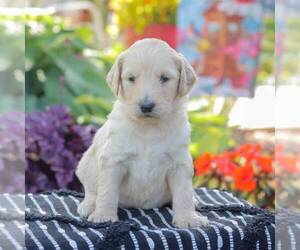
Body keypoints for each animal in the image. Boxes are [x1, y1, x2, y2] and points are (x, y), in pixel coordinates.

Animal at [75, 38, 209, 228]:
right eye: (131, 78)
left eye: (164, 78)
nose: (146, 106)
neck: (148, 128)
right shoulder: (113, 160)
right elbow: (107, 191)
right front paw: (103, 215)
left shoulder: (179, 163)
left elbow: (183, 193)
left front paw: (188, 218)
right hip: (86, 164)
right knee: (91, 190)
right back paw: (88, 206)